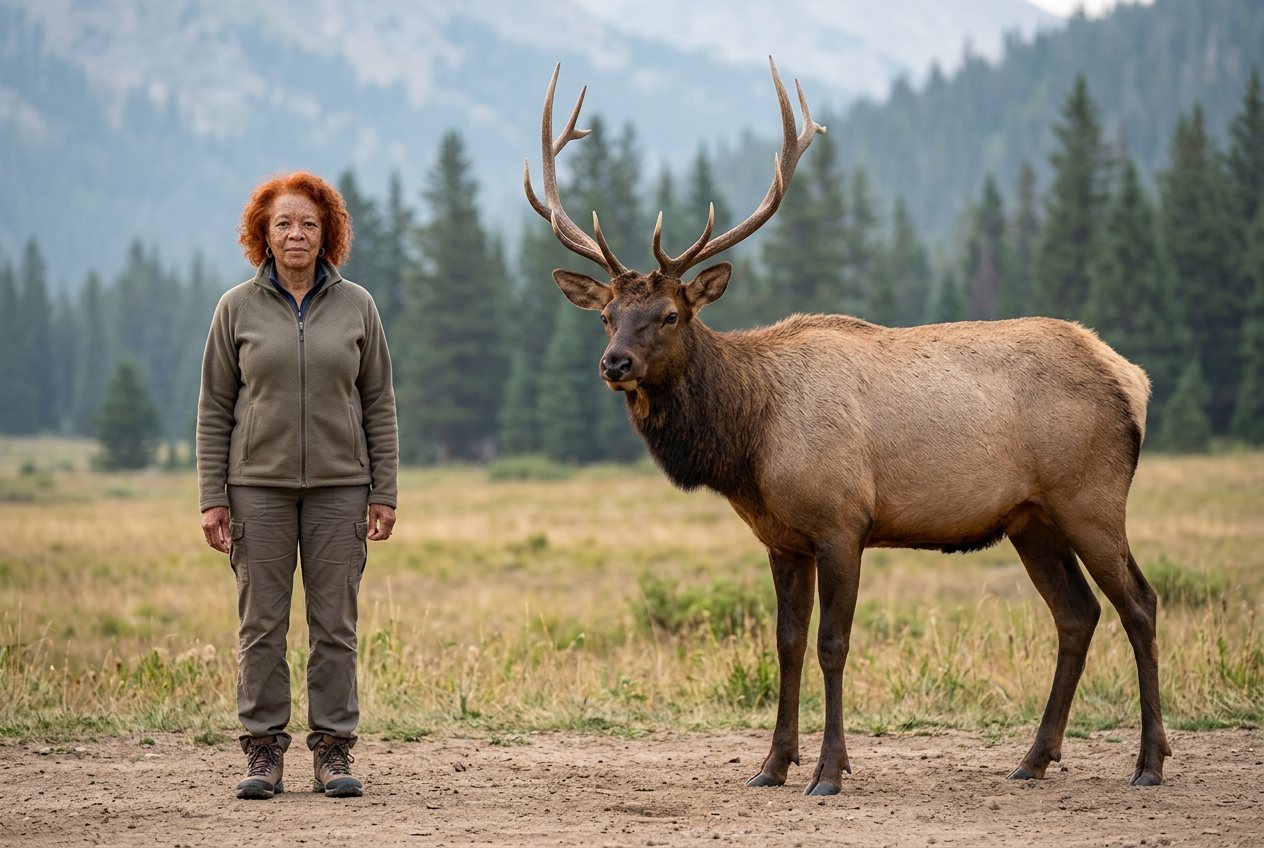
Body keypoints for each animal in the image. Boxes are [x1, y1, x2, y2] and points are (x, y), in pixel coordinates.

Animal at [523, 57, 1171, 796]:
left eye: (669, 315)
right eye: (606, 315)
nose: (614, 363)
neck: (748, 444)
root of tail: (1133, 379)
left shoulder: (842, 523)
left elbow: (833, 644)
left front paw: (829, 770)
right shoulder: (782, 539)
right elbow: (786, 644)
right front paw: (772, 765)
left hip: (1090, 496)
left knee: (1140, 603)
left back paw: (1149, 762)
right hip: (1031, 518)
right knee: (1077, 613)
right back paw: (1034, 758)